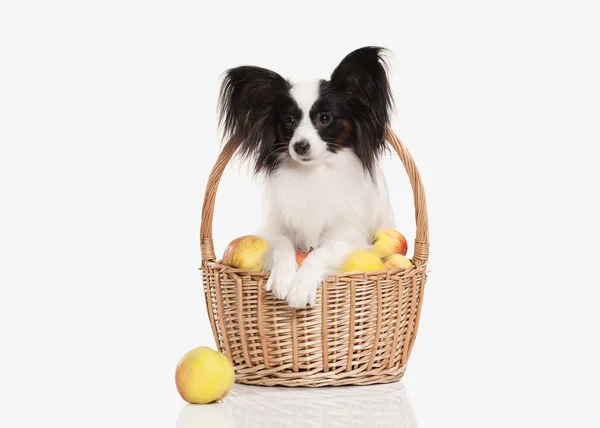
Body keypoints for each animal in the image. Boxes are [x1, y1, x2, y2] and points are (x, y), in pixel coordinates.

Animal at [218, 46, 396, 308]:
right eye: (289, 120)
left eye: (325, 118)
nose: (300, 146)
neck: (313, 173)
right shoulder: (273, 230)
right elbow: (282, 244)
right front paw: (283, 277)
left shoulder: (350, 236)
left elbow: (321, 251)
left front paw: (301, 286)